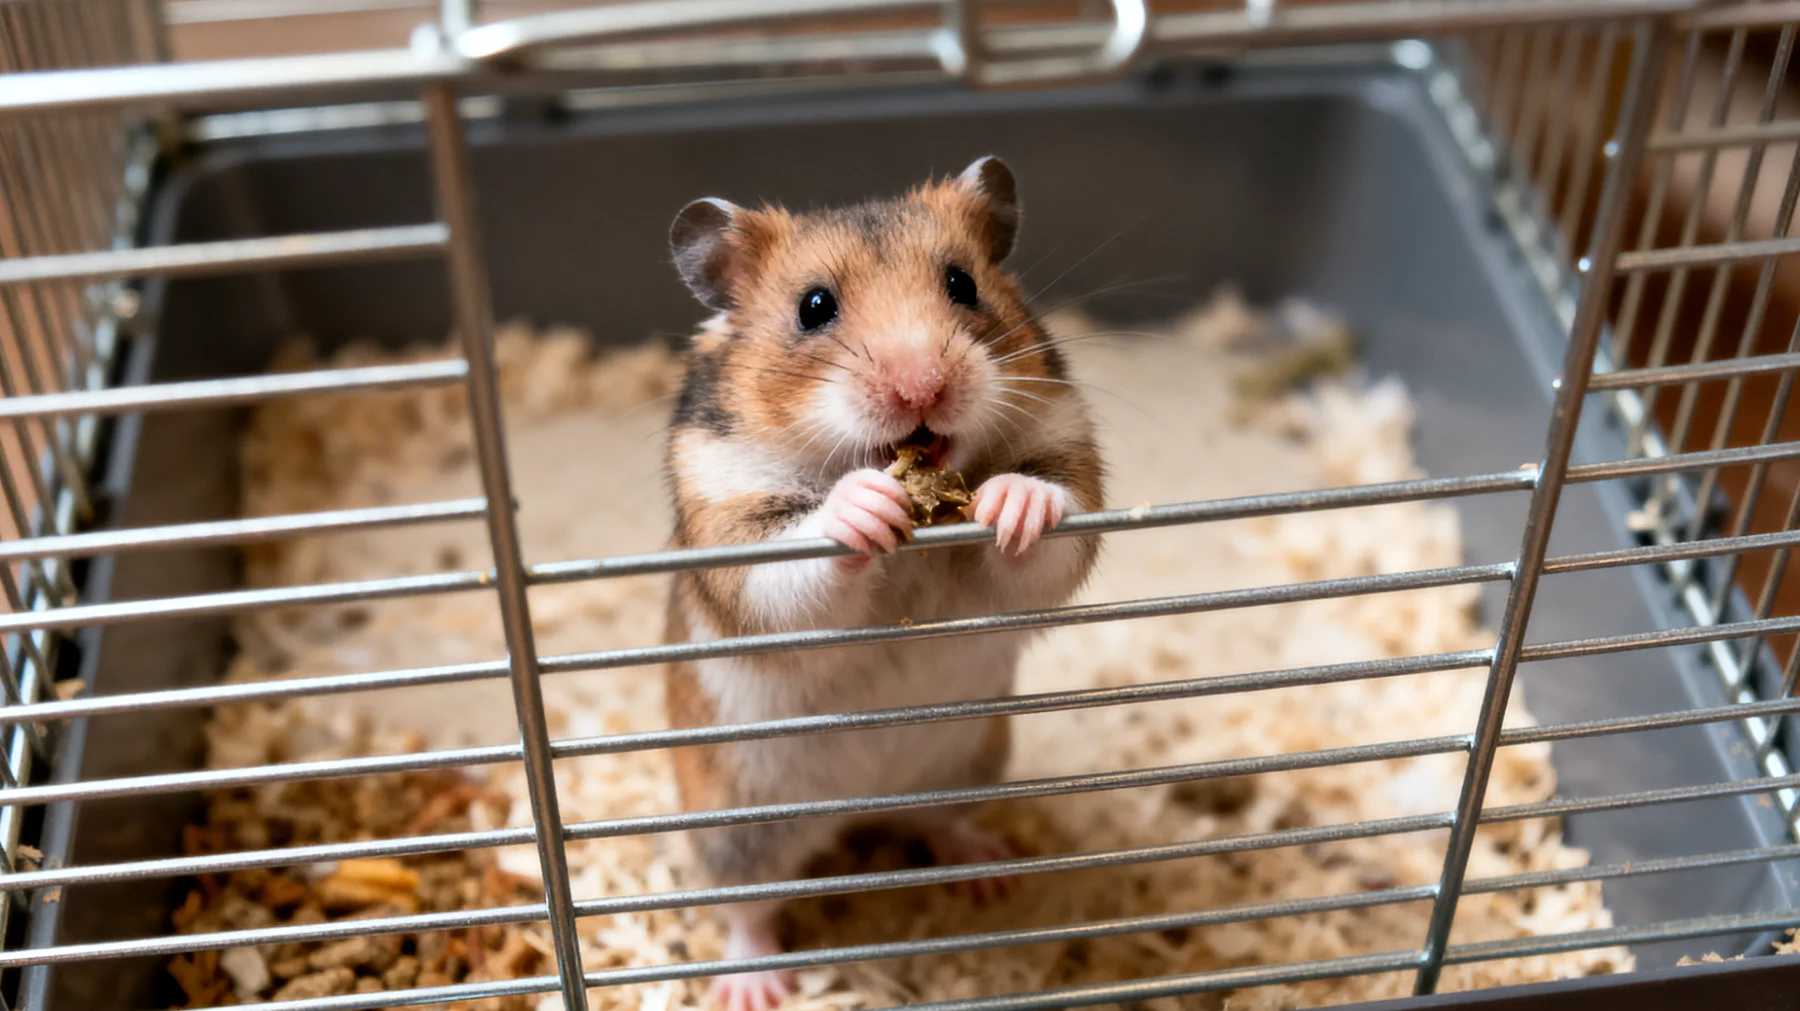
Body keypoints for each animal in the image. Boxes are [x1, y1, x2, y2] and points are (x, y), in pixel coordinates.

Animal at [660, 156, 1105, 1011]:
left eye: (963, 282)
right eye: (813, 307)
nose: (922, 388)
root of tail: (863, 811)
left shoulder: (1063, 451)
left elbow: (1040, 541)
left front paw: (1012, 502)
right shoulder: (734, 523)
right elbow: (798, 566)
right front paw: (865, 504)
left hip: (965, 764)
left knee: (934, 825)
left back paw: (988, 872)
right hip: (736, 821)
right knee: (748, 904)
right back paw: (756, 985)